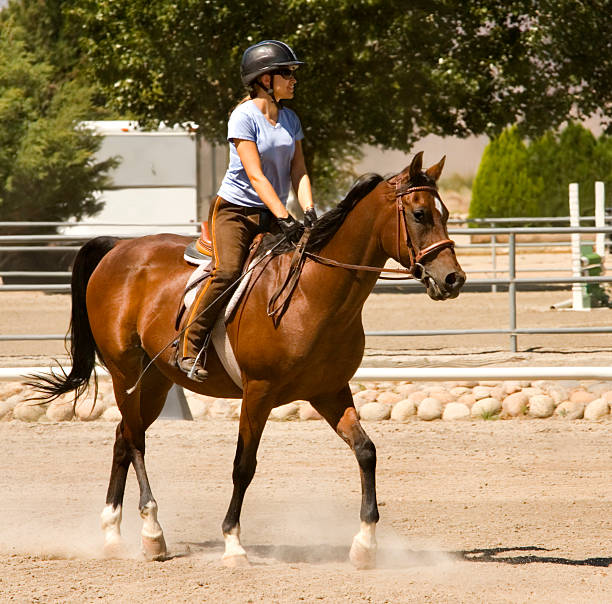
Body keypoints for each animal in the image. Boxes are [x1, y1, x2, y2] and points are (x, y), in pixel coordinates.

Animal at [31, 151, 464, 568]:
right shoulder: (259, 392)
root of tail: (119, 248)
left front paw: (365, 545)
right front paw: (233, 545)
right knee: (135, 441)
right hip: (125, 372)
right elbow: (244, 465)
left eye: (445, 214)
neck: (313, 293)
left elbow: (366, 451)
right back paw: (153, 533)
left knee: (124, 437)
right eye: (420, 215)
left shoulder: (329, 391)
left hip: (155, 381)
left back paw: (112, 535)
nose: (453, 279)